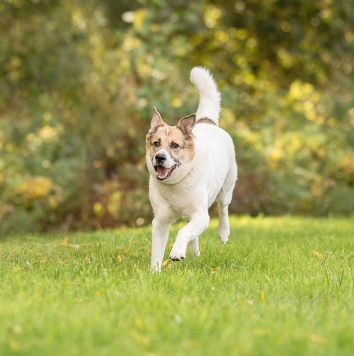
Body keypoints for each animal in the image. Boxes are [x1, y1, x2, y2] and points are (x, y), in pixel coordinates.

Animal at [145, 67, 236, 272]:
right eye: (156, 143)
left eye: (174, 145)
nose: (159, 157)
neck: (176, 184)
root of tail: (206, 121)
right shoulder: (160, 222)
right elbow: (156, 251)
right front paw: (154, 273)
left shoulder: (201, 215)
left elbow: (183, 231)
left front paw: (177, 251)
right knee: (194, 233)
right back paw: (195, 253)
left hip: (227, 187)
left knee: (223, 208)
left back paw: (223, 232)